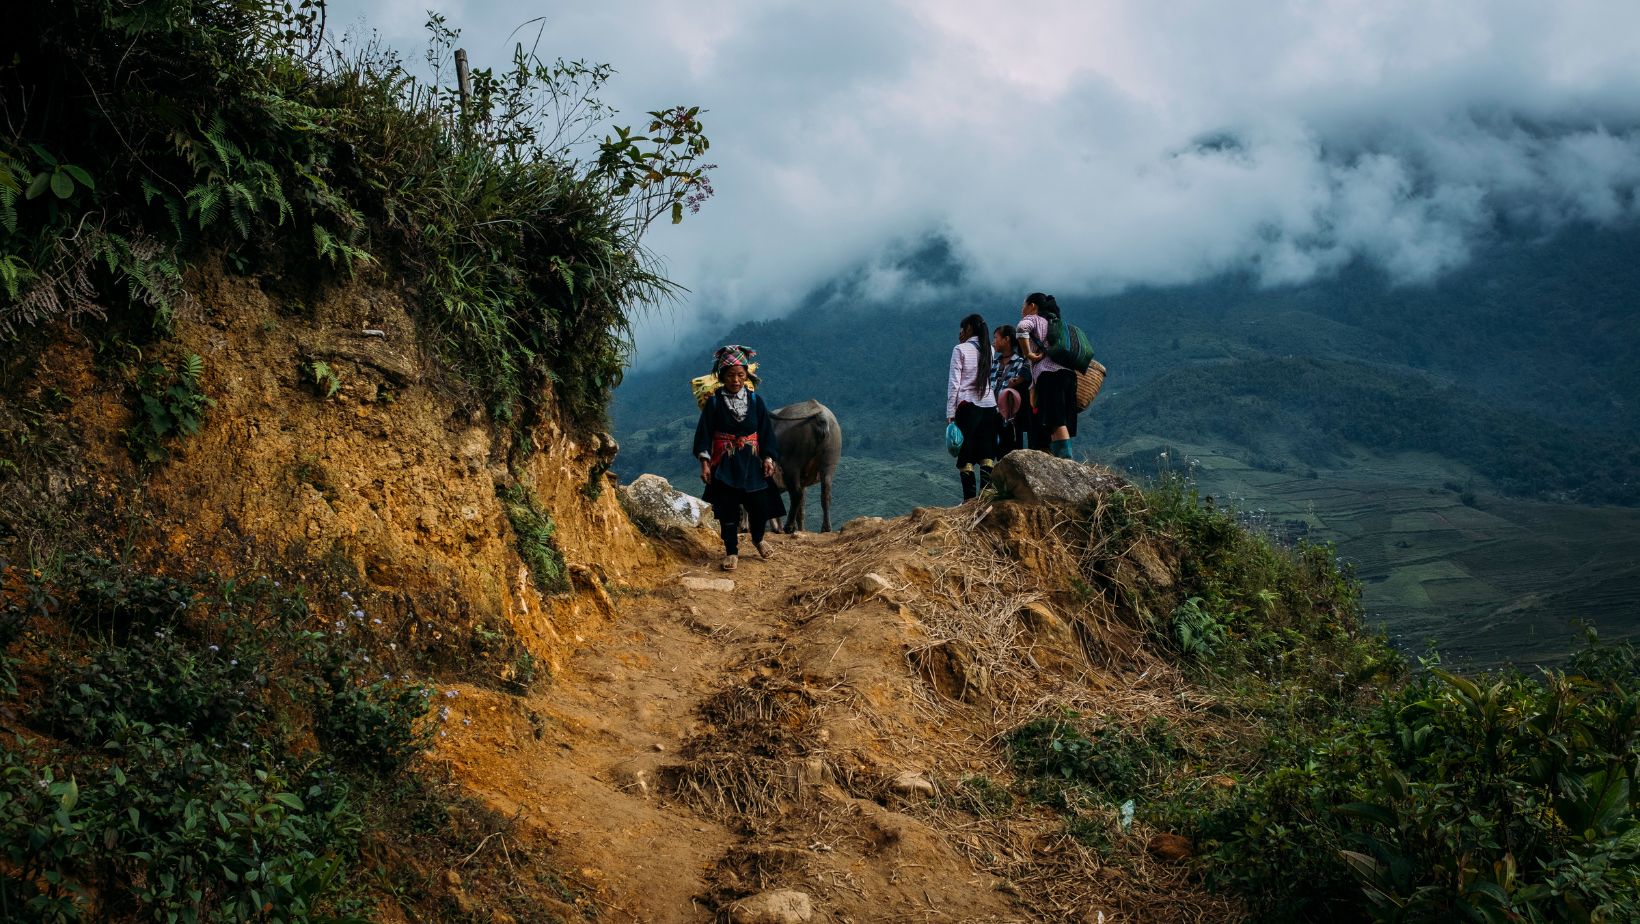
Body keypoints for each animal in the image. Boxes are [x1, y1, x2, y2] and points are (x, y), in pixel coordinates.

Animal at [770, 398, 846, 535]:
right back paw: (825, 528)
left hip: (792, 463)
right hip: (830, 458)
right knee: (826, 493)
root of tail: (819, 414)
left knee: (796, 494)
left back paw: (789, 527)